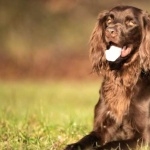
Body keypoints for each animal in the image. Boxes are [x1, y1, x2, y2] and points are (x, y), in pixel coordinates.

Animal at [64, 5, 150, 149]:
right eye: (109, 19)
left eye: (131, 22)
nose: (109, 31)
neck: (122, 78)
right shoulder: (102, 128)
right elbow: (86, 139)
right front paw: (73, 146)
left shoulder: (143, 137)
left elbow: (113, 144)